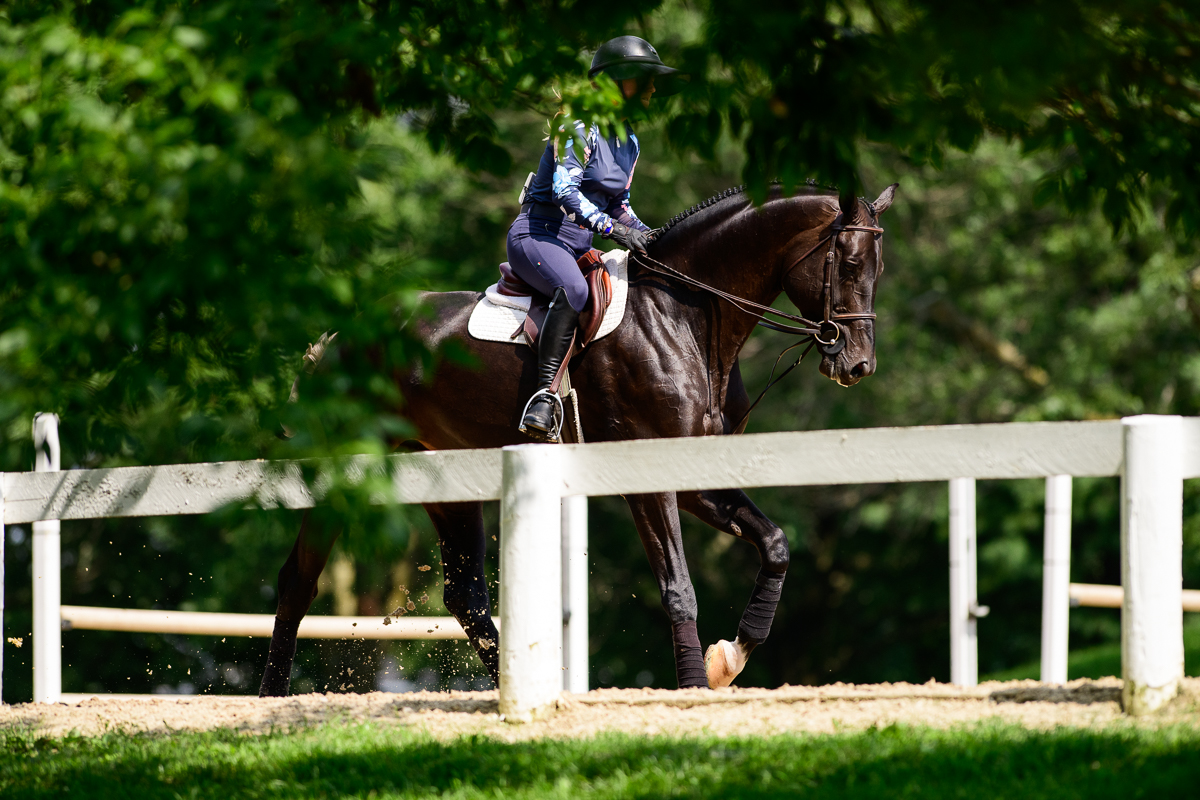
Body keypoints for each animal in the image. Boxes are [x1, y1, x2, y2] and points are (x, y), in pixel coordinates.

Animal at [258, 182, 898, 696]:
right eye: (846, 263)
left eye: (878, 270)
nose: (859, 364)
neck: (684, 315)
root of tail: (339, 338)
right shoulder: (647, 478)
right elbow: (678, 586)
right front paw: (696, 683)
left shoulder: (694, 476)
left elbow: (775, 544)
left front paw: (730, 658)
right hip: (347, 473)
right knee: (298, 582)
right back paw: (270, 696)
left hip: (447, 480)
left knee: (465, 597)